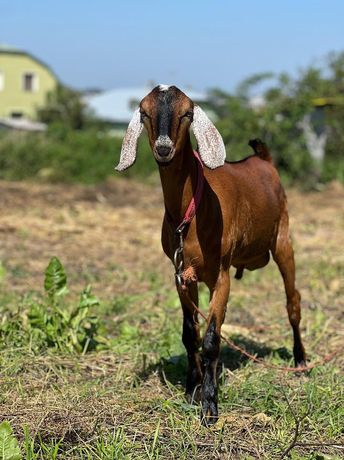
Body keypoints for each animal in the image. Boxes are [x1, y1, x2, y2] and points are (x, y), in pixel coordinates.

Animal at [116, 85, 306, 424]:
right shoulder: (181, 275)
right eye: (144, 112)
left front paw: (209, 405)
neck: (192, 209)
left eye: (187, 113)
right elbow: (190, 334)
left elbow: (211, 339)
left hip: (283, 239)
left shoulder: (221, 274)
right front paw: (191, 389)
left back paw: (299, 361)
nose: (163, 148)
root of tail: (262, 159)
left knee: (292, 301)